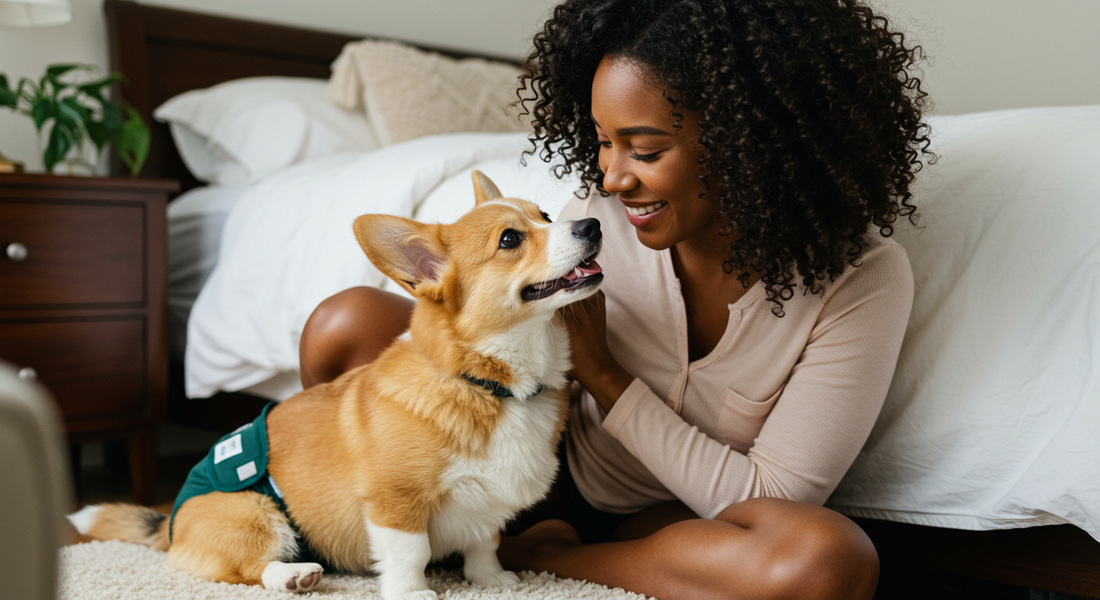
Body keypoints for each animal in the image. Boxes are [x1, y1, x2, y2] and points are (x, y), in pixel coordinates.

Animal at [68, 170, 602, 594]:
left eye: (545, 213)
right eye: (510, 240)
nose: (592, 224)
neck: (488, 383)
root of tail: (171, 526)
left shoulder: (488, 506)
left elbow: (484, 543)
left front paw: (491, 581)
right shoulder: (394, 502)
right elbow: (410, 553)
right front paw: (413, 593)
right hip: (256, 512)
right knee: (244, 568)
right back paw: (293, 575)